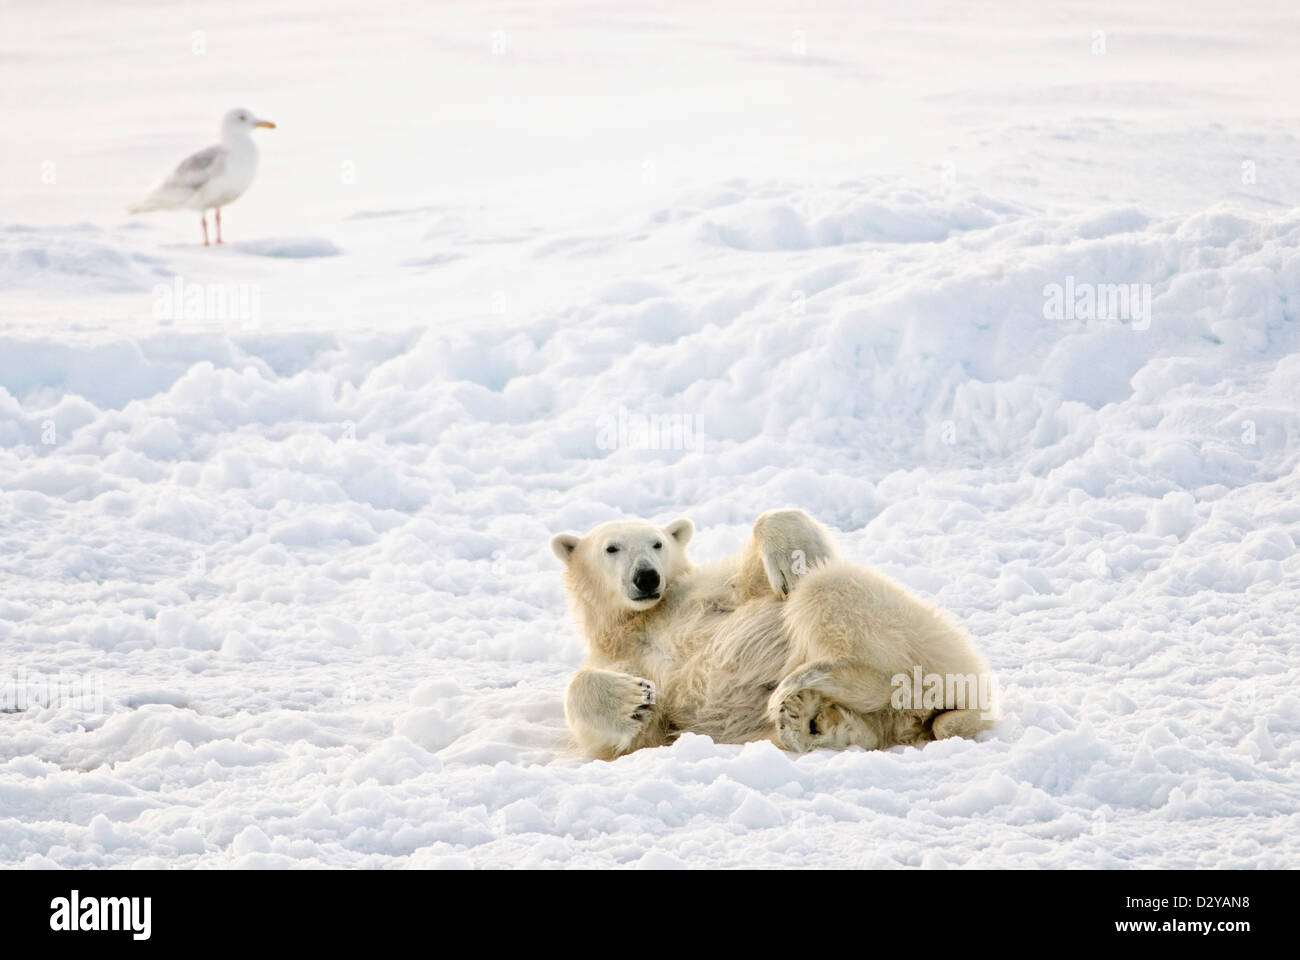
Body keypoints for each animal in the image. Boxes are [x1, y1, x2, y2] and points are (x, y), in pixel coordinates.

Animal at [548, 509, 993, 754]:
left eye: (657, 543)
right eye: (611, 548)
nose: (646, 577)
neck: (642, 620)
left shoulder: (709, 592)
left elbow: (761, 579)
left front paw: (793, 559)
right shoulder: (625, 659)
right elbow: (628, 729)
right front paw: (633, 699)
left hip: (929, 637)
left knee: (825, 590)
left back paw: (806, 682)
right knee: (874, 725)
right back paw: (810, 718)